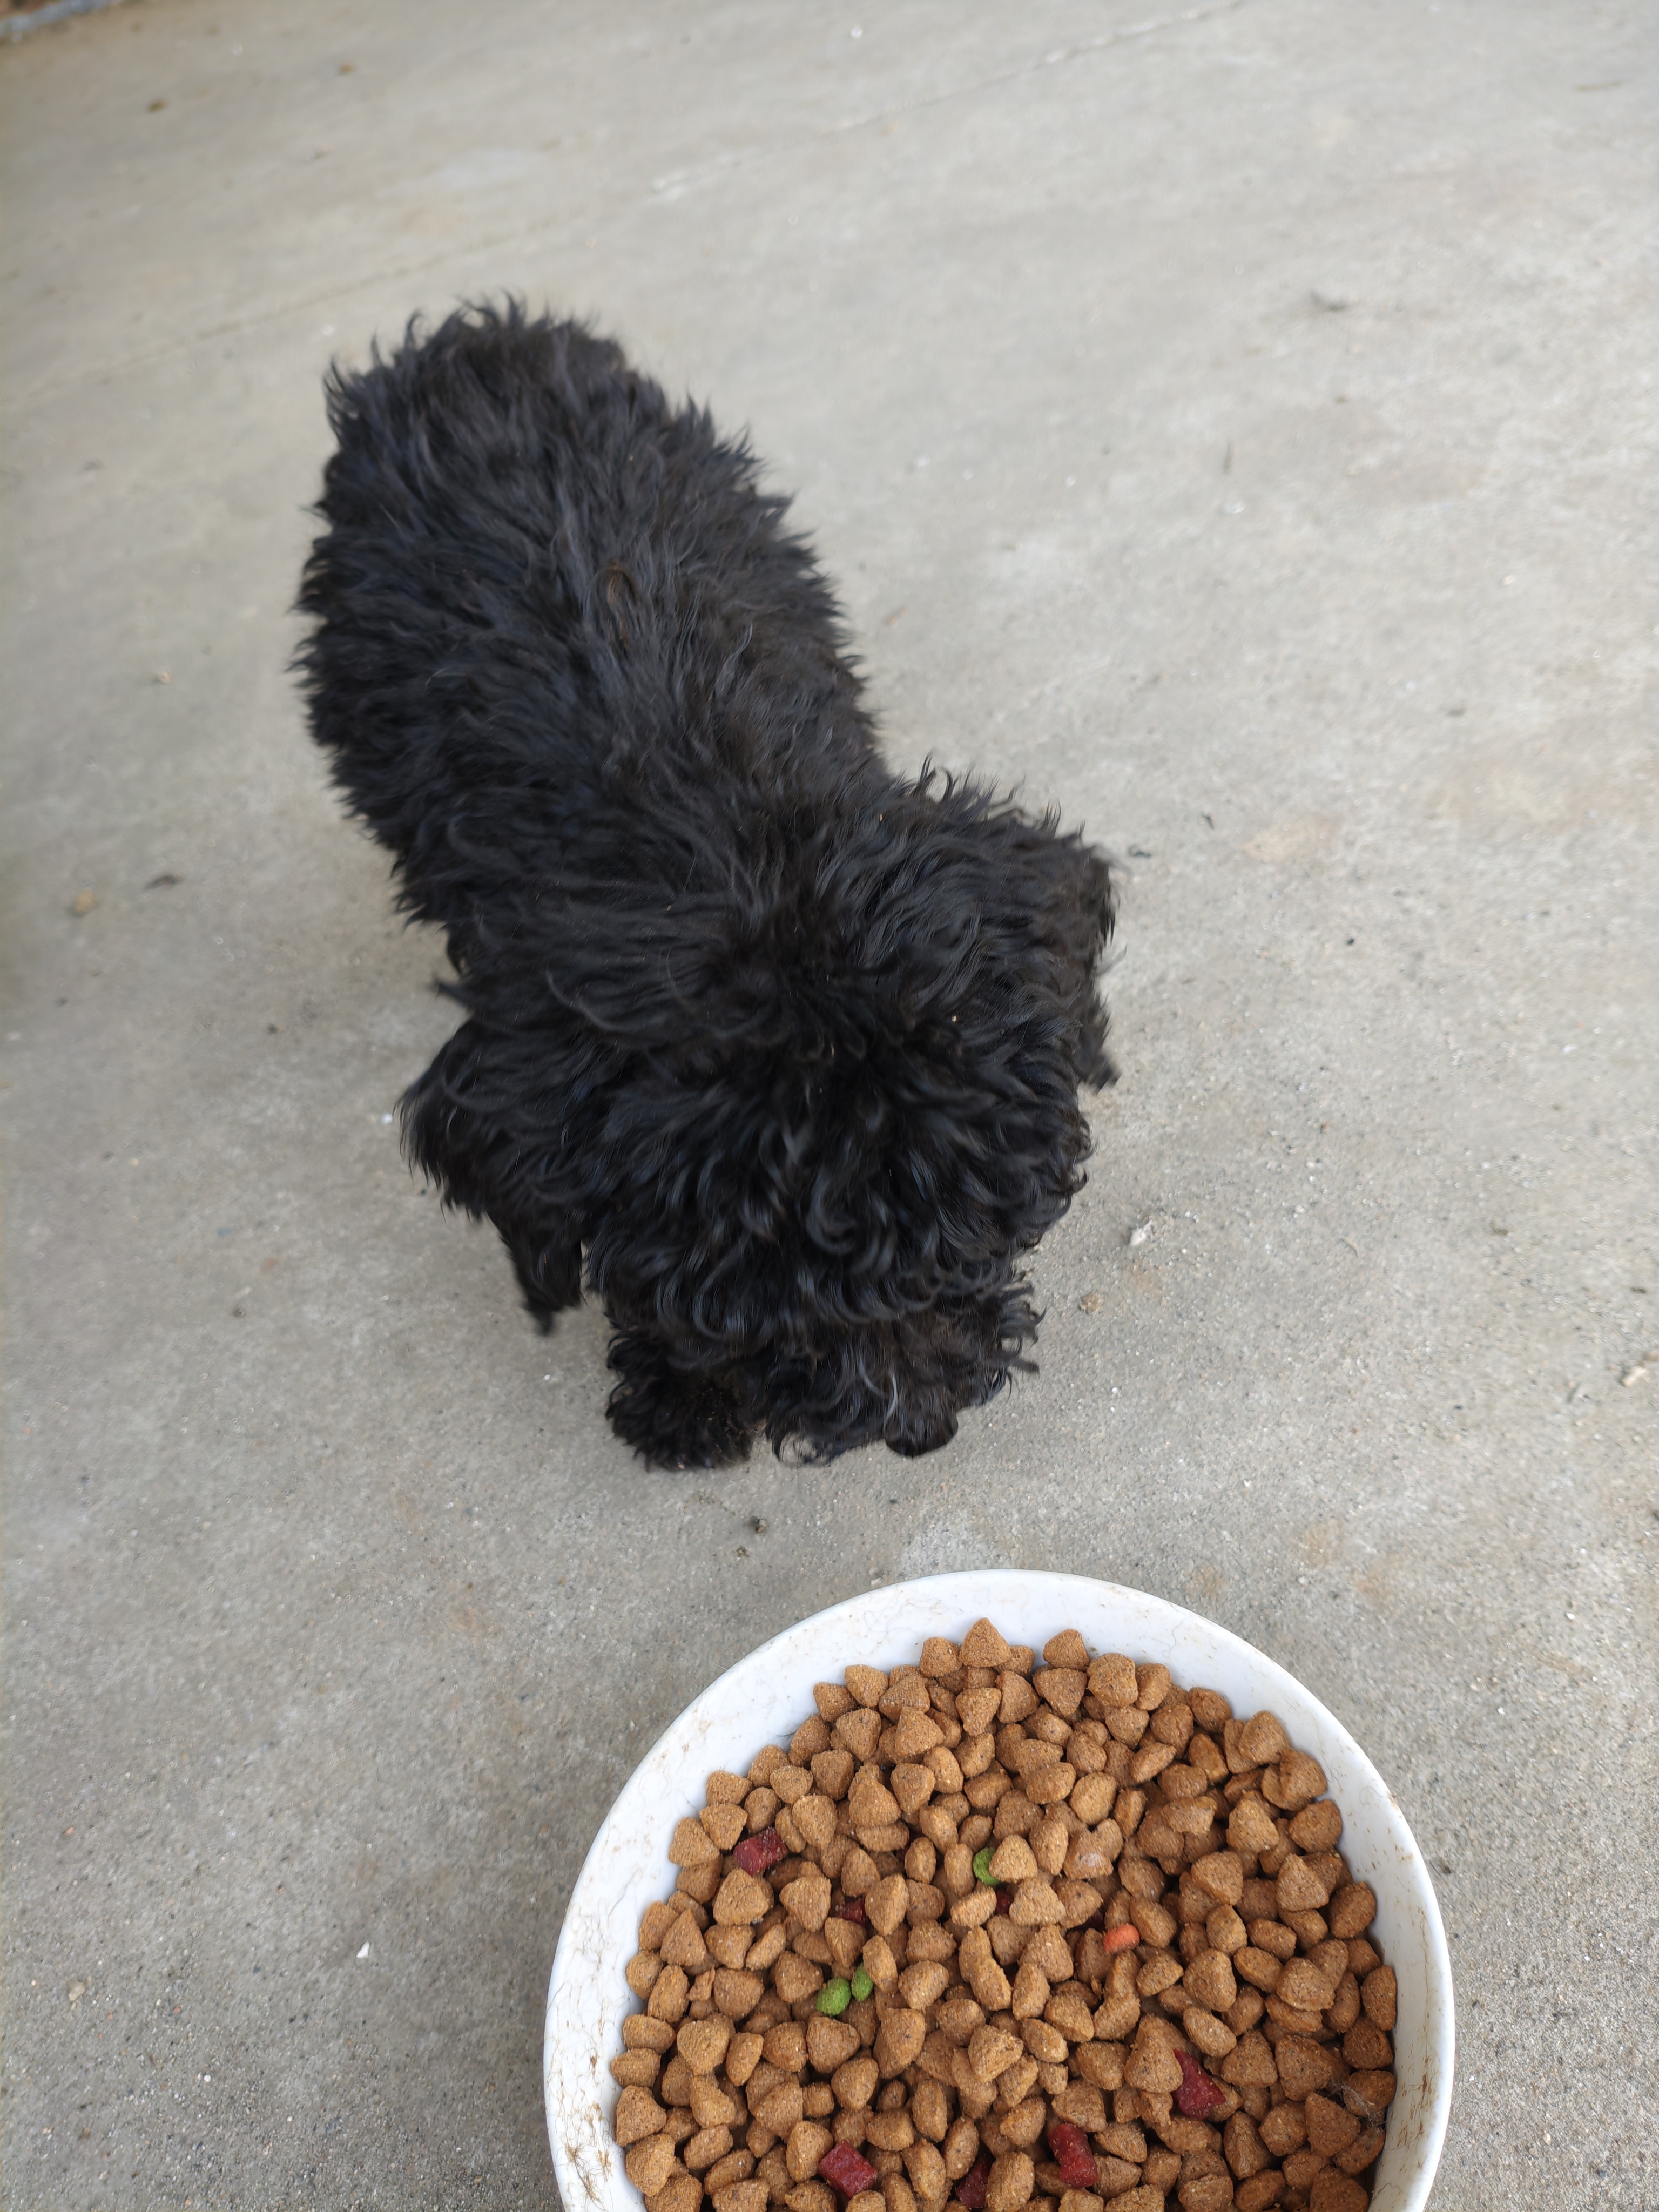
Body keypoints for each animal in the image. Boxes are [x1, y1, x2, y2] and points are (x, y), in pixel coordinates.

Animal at [296, 303, 1115, 1467]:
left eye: (983, 1232)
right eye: (726, 1305)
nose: (923, 1426)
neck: (732, 841)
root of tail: (472, 340)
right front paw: (676, 1393)